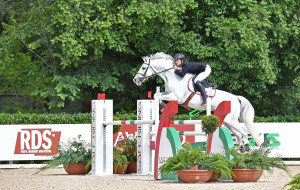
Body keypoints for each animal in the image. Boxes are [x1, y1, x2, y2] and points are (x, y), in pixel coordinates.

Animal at [134, 52, 262, 148]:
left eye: (143, 67)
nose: (135, 80)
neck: (173, 76)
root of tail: (236, 98)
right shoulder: (169, 93)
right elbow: (157, 94)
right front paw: (161, 106)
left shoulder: (177, 97)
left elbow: (158, 96)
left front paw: (162, 106)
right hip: (227, 121)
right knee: (239, 134)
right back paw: (239, 150)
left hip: (231, 120)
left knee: (244, 132)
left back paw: (246, 148)